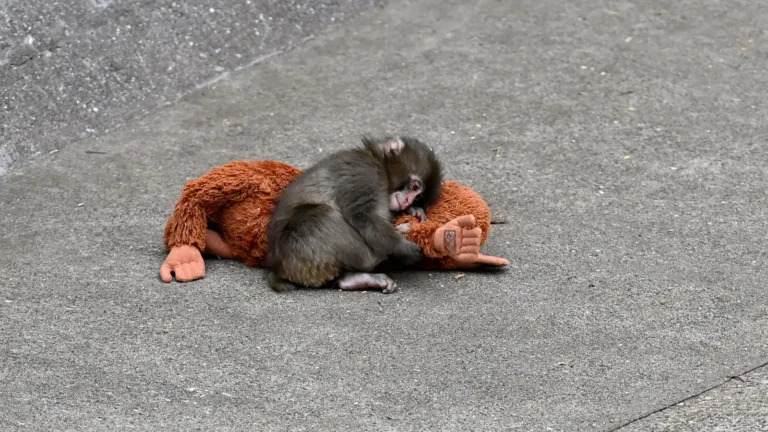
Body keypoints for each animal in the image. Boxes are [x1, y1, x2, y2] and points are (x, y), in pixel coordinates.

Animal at [265, 135, 443, 294]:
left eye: (418, 197)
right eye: (414, 187)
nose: (407, 202)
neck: (378, 161)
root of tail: (277, 268)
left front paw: (415, 211)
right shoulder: (366, 173)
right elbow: (362, 215)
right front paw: (402, 246)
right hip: (300, 250)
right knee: (323, 215)